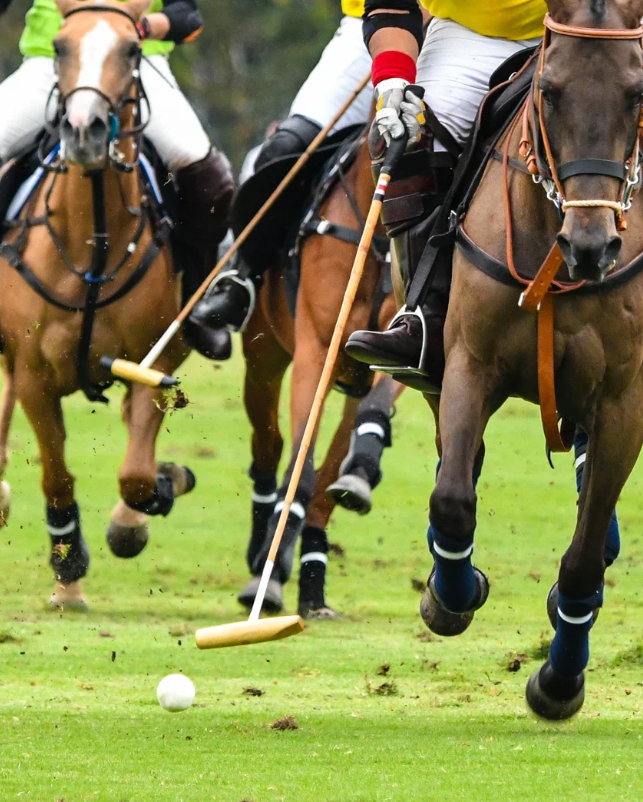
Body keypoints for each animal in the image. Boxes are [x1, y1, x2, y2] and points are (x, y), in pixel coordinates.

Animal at [238, 130, 403, 618]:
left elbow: (371, 414)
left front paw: (362, 472)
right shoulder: (314, 351)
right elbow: (301, 468)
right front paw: (269, 578)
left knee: (328, 479)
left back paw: (312, 586)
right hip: (263, 359)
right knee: (270, 447)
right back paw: (261, 553)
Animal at [417, 0, 643, 719]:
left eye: (636, 94)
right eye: (550, 92)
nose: (592, 246)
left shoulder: (624, 401)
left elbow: (582, 559)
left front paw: (558, 681)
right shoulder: (467, 362)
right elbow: (452, 498)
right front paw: (454, 594)